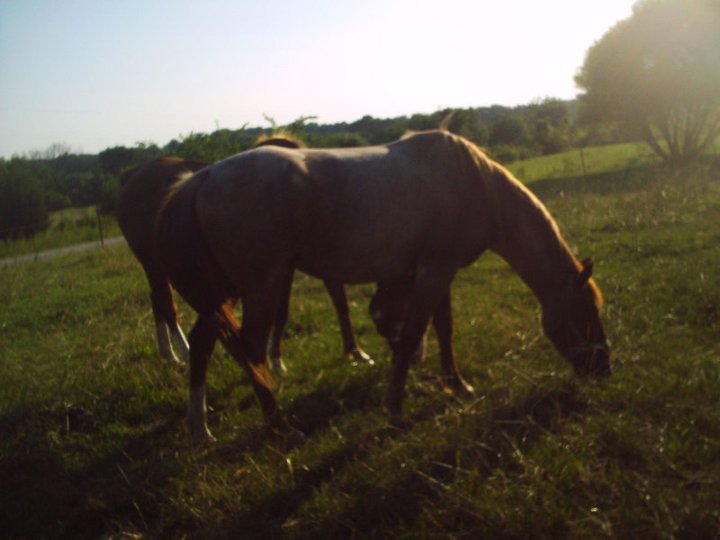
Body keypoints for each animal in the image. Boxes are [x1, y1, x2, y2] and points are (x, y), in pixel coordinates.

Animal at [116, 136, 372, 369]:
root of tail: (131, 181)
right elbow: (284, 311)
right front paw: (275, 360)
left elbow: (335, 301)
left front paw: (355, 351)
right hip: (152, 262)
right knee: (167, 304)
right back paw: (185, 352)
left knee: (157, 298)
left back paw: (168, 352)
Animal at [156, 129, 610, 443]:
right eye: (586, 313)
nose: (603, 370)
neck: (473, 182)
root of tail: (202, 179)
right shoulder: (434, 272)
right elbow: (412, 336)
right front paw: (396, 408)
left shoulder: (438, 272)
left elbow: (443, 330)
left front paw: (456, 384)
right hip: (260, 288)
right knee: (249, 349)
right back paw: (278, 426)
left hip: (225, 293)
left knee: (204, 342)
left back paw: (200, 427)